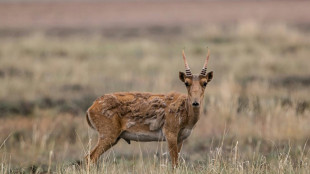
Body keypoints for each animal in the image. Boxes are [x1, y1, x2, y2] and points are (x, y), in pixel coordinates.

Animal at [86, 49, 214, 167]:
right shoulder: (170, 135)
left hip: (114, 138)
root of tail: (91, 107)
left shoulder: (181, 138)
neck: (185, 111)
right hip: (108, 136)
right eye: (186, 83)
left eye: (205, 82)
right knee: (90, 157)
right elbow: (174, 164)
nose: (195, 103)